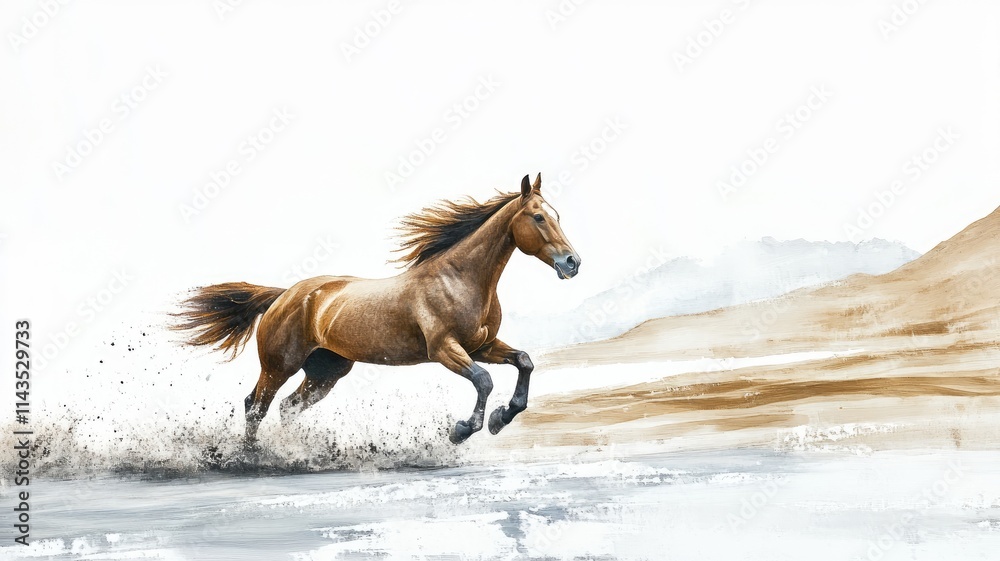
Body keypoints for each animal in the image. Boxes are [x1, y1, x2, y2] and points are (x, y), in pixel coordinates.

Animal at [173, 174, 582, 444]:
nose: (572, 262)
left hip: (326, 372)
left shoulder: (481, 345)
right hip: (279, 366)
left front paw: (501, 418)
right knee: (255, 405)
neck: (458, 278)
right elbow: (484, 380)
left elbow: (524, 361)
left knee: (288, 408)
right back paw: (251, 455)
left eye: (558, 215)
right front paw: (462, 430)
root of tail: (284, 295)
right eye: (539, 217)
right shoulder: (445, 349)